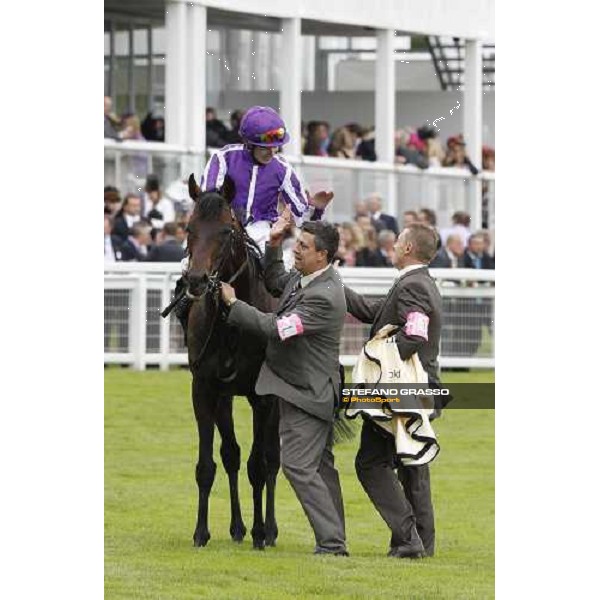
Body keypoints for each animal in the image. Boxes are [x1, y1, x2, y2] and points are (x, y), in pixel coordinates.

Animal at [184, 172, 280, 548]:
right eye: (189, 227)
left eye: (226, 230)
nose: (196, 280)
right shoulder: (204, 389)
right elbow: (208, 465)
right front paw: (201, 532)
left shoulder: (262, 398)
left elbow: (261, 465)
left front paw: (260, 532)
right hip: (224, 398)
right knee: (232, 455)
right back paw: (238, 527)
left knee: (272, 460)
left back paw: (268, 530)